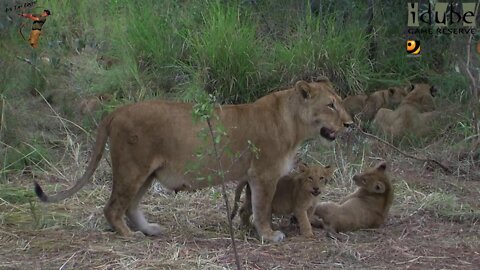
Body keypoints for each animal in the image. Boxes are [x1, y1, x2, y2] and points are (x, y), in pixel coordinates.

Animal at [31, 79, 350, 242]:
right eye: (330, 105)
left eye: (340, 102)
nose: (349, 123)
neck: (294, 125)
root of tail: (117, 111)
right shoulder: (264, 174)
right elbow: (263, 207)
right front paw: (269, 235)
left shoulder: (252, 176)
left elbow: (251, 206)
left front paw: (251, 227)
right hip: (132, 169)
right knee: (112, 207)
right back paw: (128, 235)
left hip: (147, 173)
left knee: (131, 205)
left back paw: (148, 229)